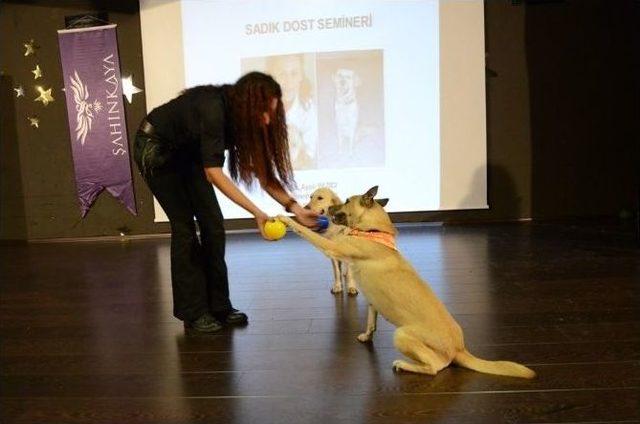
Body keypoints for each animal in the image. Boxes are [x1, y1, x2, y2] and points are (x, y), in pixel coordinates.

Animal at [276, 187, 536, 380]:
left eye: (347, 201)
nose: (327, 208)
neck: (372, 231)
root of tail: (459, 349)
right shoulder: (372, 301)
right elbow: (371, 322)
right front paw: (366, 337)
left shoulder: (334, 248)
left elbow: (310, 235)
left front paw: (288, 220)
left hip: (401, 336)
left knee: (436, 367)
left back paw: (404, 365)